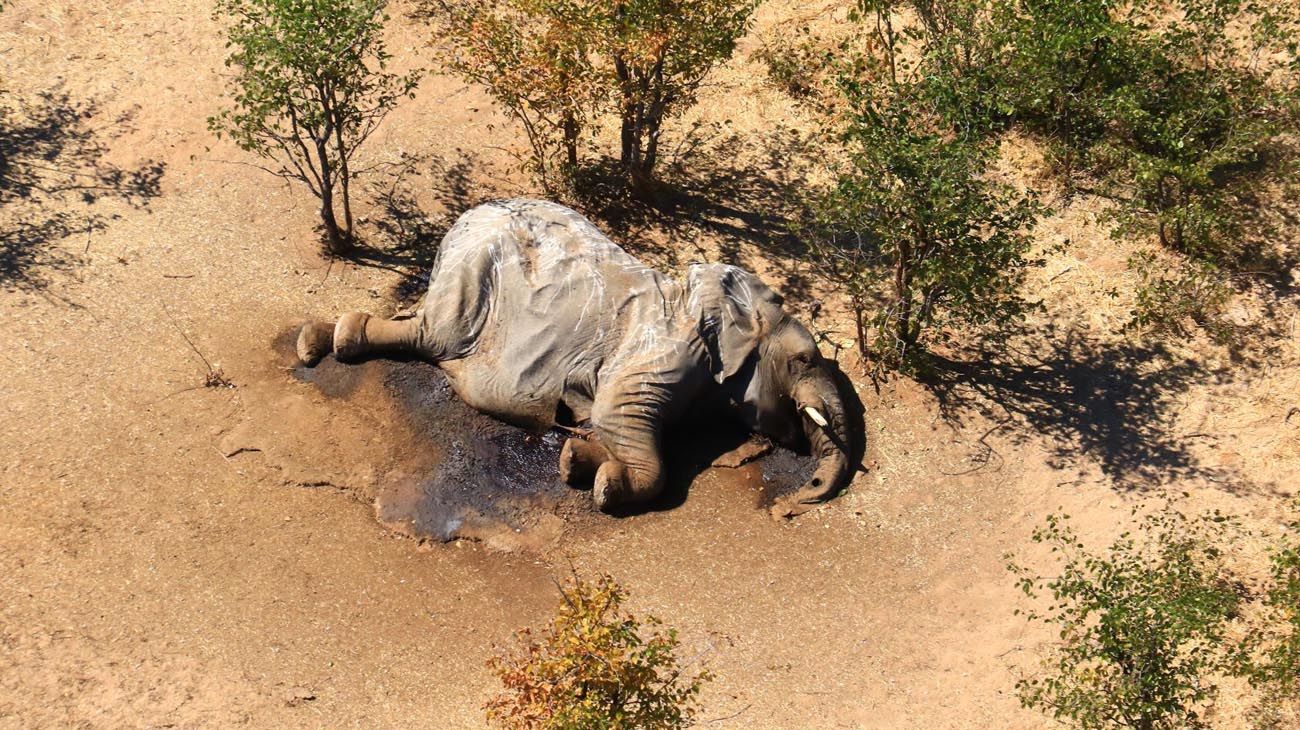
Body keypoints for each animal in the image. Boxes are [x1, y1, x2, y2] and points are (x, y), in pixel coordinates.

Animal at [296, 198, 859, 517]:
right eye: (804, 359)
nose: (792, 505)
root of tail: (465, 217)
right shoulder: (664, 350)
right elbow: (618, 417)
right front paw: (607, 486)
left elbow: (611, 425)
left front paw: (575, 460)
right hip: (472, 274)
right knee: (433, 335)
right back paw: (326, 341)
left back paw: (319, 339)